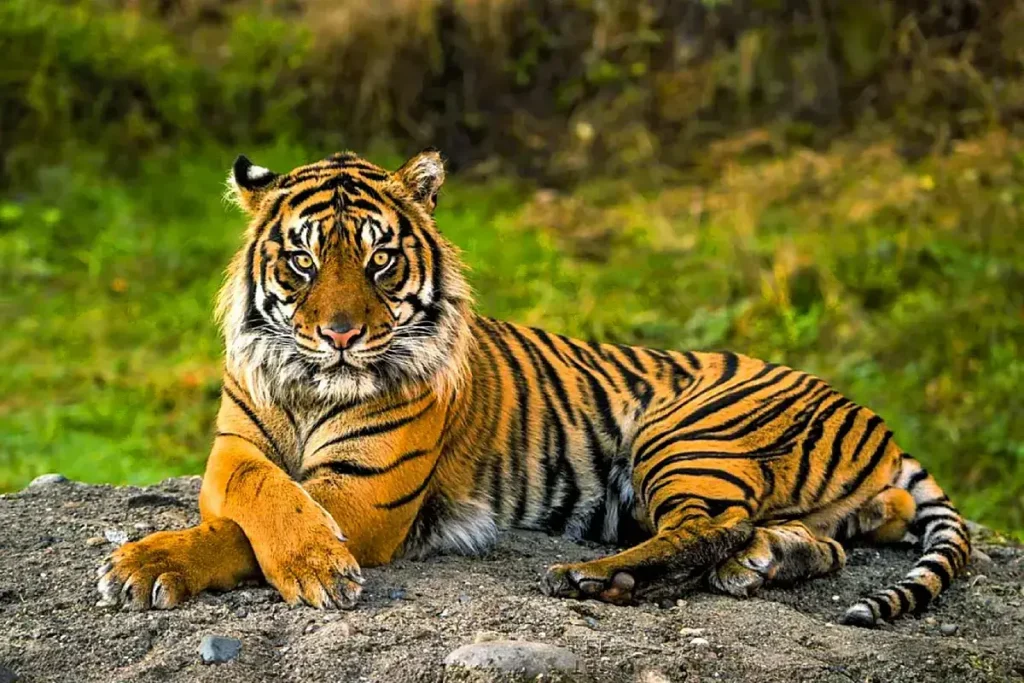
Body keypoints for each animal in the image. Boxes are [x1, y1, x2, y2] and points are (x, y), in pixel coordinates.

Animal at [97, 149, 971, 627]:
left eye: (380, 259)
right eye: (304, 260)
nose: (341, 335)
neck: (312, 385)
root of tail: (874, 418)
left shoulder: (367, 494)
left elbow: (248, 529)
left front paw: (156, 563)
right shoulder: (232, 452)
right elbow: (257, 498)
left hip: (686, 430)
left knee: (708, 524)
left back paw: (599, 576)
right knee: (825, 534)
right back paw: (767, 560)